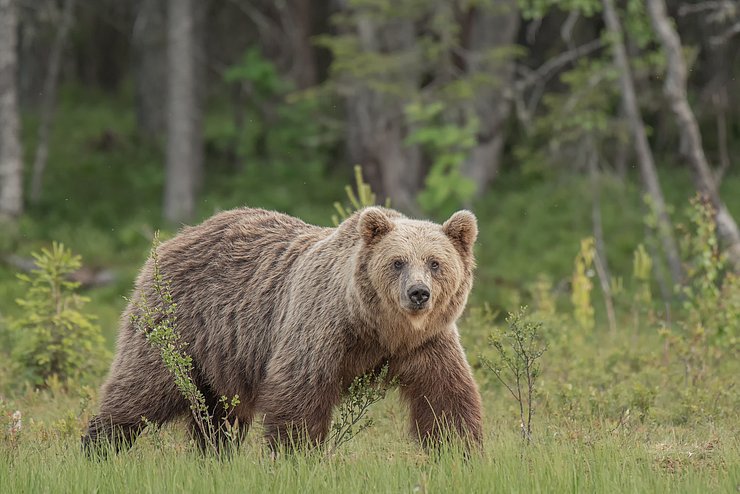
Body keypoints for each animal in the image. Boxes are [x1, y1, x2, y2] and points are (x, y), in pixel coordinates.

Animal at [82, 206, 486, 454]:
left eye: (435, 263)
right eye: (397, 262)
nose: (418, 293)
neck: (379, 331)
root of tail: (174, 238)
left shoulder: (427, 343)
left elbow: (446, 399)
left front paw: (460, 452)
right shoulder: (321, 329)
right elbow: (299, 397)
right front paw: (300, 456)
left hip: (223, 357)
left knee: (218, 417)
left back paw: (215, 457)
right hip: (179, 325)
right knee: (142, 390)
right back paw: (97, 446)